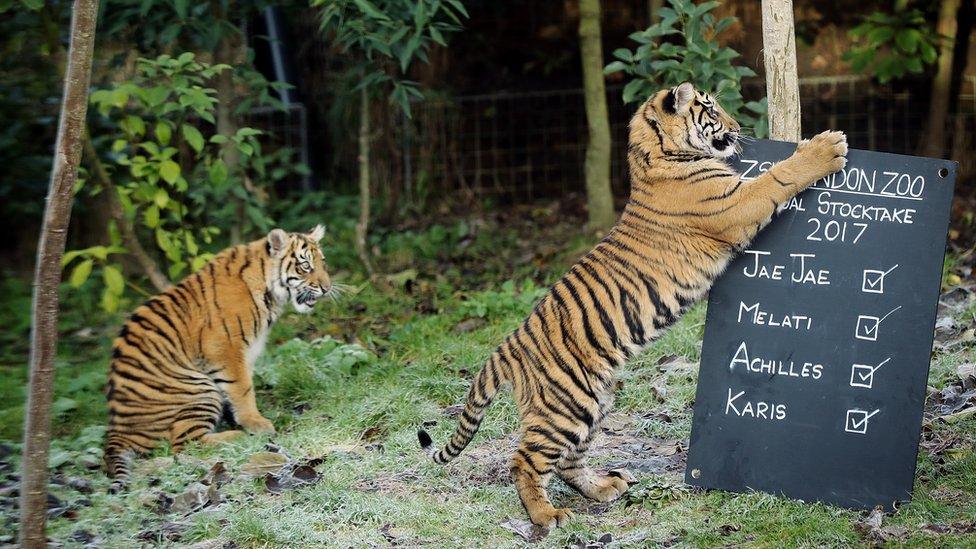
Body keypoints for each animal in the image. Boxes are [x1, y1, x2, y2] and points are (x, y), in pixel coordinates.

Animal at [105, 225, 336, 490]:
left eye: (323, 263)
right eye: (305, 265)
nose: (327, 288)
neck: (268, 288)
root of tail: (117, 430)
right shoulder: (225, 349)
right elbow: (243, 389)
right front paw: (255, 423)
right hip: (196, 389)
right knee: (184, 444)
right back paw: (236, 435)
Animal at [420, 82, 848, 528]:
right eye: (711, 109)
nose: (735, 128)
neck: (656, 154)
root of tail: (507, 348)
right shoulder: (737, 202)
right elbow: (778, 176)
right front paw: (826, 147)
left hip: (592, 402)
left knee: (567, 461)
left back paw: (604, 488)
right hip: (564, 406)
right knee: (524, 460)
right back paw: (546, 516)